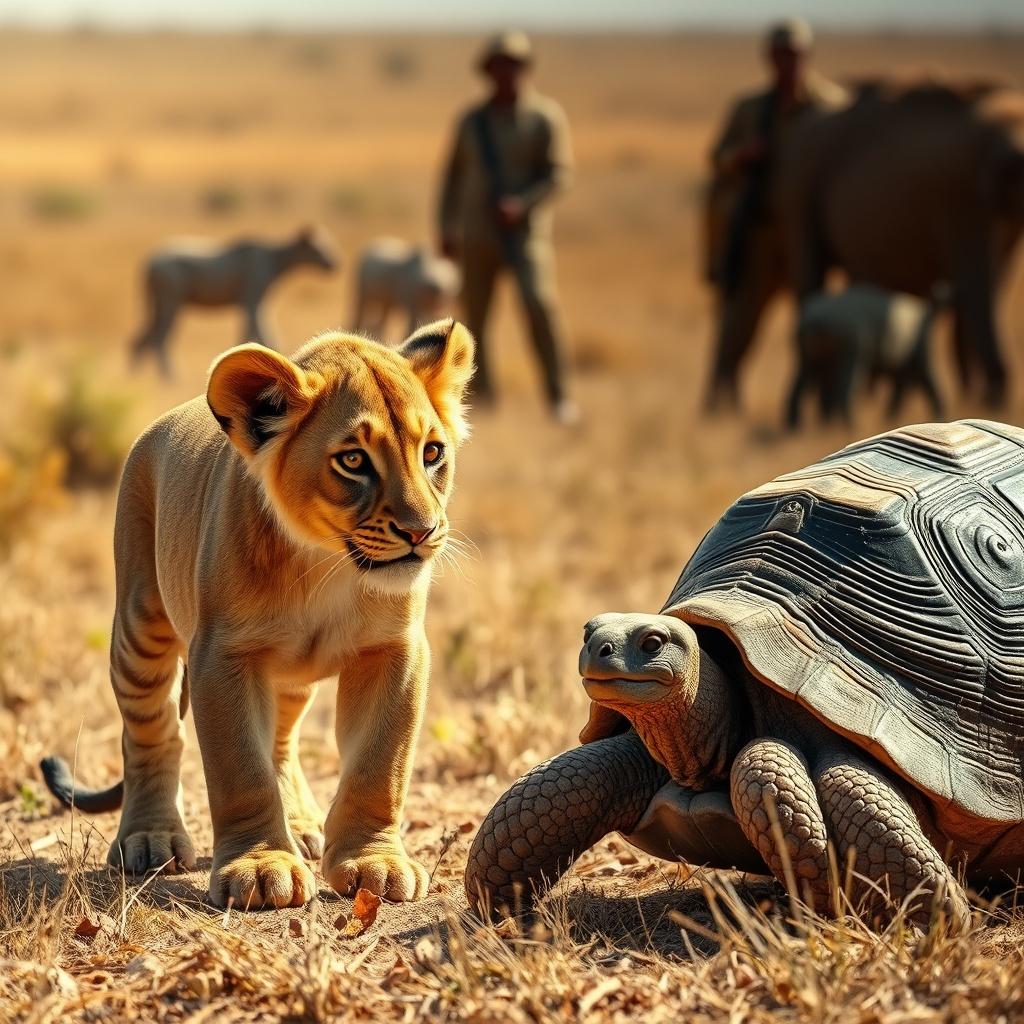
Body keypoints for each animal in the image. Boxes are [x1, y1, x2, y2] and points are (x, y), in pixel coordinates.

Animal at [41, 318, 475, 909]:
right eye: (353, 461)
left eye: (432, 453)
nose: (422, 531)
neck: (325, 564)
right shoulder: (223, 654)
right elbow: (241, 770)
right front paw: (262, 868)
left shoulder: (394, 649)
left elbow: (379, 765)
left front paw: (375, 862)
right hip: (139, 624)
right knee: (151, 731)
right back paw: (149, 837)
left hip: (288, 677)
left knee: (281, 741)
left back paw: (302, 826)